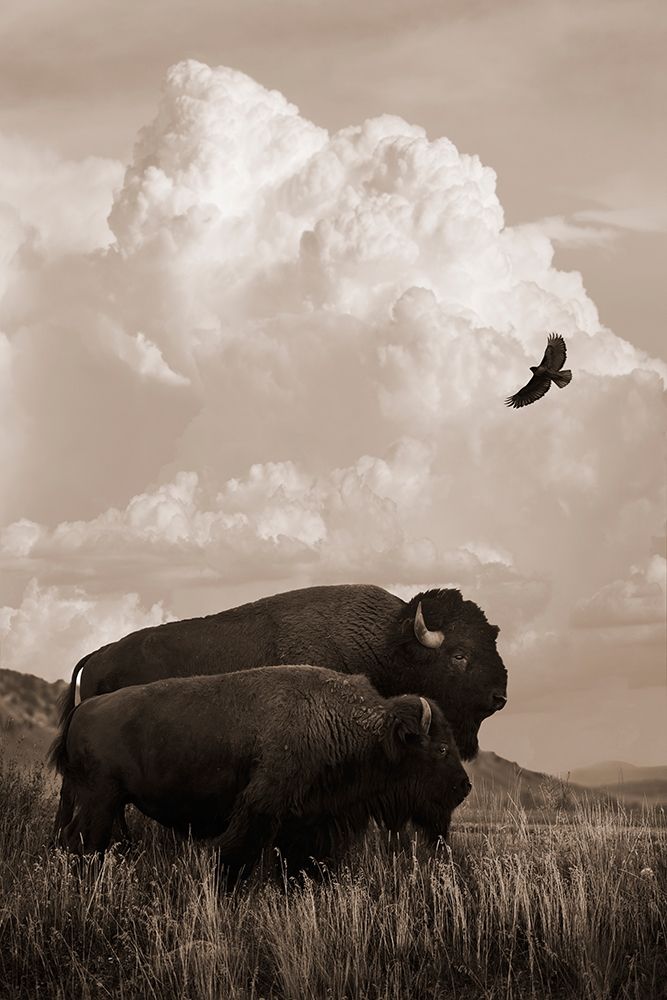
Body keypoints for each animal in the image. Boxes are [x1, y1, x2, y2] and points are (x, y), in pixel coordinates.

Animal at [52, 665, 472, 875]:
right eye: (441, 748)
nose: (463, 787)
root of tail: (83, 708)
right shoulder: (261, 809)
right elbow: (237, 854)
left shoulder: (313, 822)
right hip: (100, 800)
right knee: (83, 842)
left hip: (102, 802)